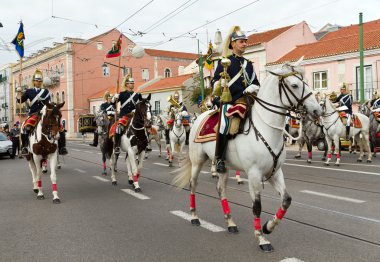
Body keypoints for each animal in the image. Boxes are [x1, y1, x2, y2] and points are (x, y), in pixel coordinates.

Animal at [174, 60, 322, 253]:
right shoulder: (254, 174)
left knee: (221, 189)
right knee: (193, 185)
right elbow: (257, 207)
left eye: (306, 81)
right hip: (197, 161)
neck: (266, 128)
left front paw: (268, 226)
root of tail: (201, 116)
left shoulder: (275, 172)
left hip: (224, 166)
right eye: (295, 85)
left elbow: (286, 200)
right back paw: (194, 216)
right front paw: (261, 239)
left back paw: (230, 222)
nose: (317, 110)